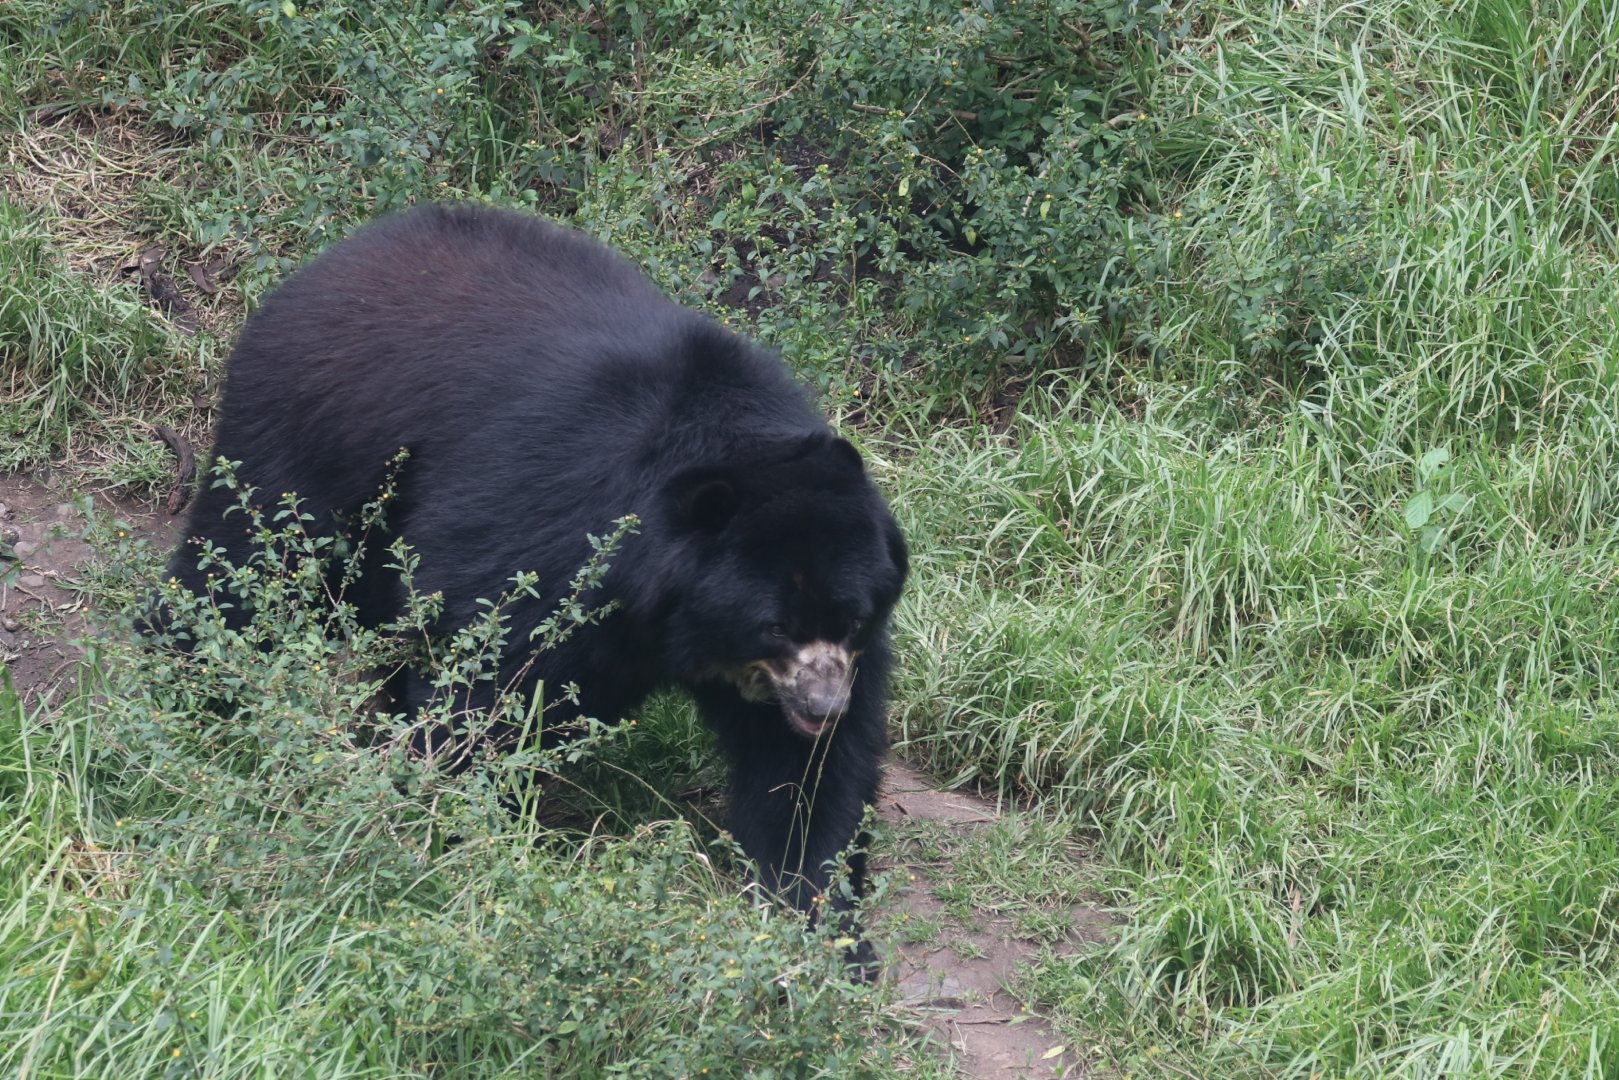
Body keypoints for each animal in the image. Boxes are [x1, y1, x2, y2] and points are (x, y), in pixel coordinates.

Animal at [162, 203, 908, 968]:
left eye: (851, 618)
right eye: (775, 626)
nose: (821, 706)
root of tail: (327, 259)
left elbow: (806, 778)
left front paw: (824, 934)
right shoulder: (552, 530)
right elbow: (490, 688)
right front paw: (449, 838)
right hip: (315, 428)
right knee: (249, 564)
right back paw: (195, 699)